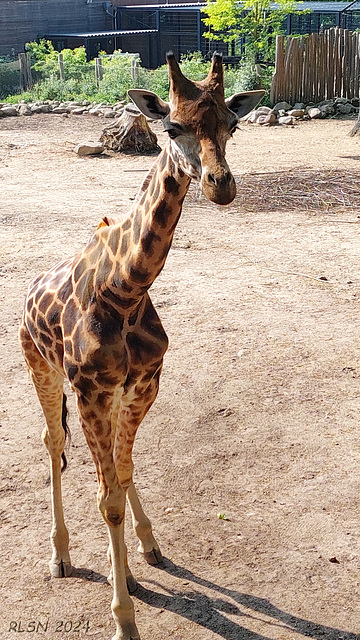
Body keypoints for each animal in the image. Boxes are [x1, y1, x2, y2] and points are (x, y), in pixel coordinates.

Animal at [18, 53, 262, 640]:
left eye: (232, 124)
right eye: (172, 128)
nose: (221, 186)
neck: (125, 289)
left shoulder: (143, 384)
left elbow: (121, 478)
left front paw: (133, 567)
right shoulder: (89, 393)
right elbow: (106, 500)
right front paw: (123, 617)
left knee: (106, 469)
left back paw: (140, 553)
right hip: (40, 367)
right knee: (52, 443)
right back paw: (60, 556)